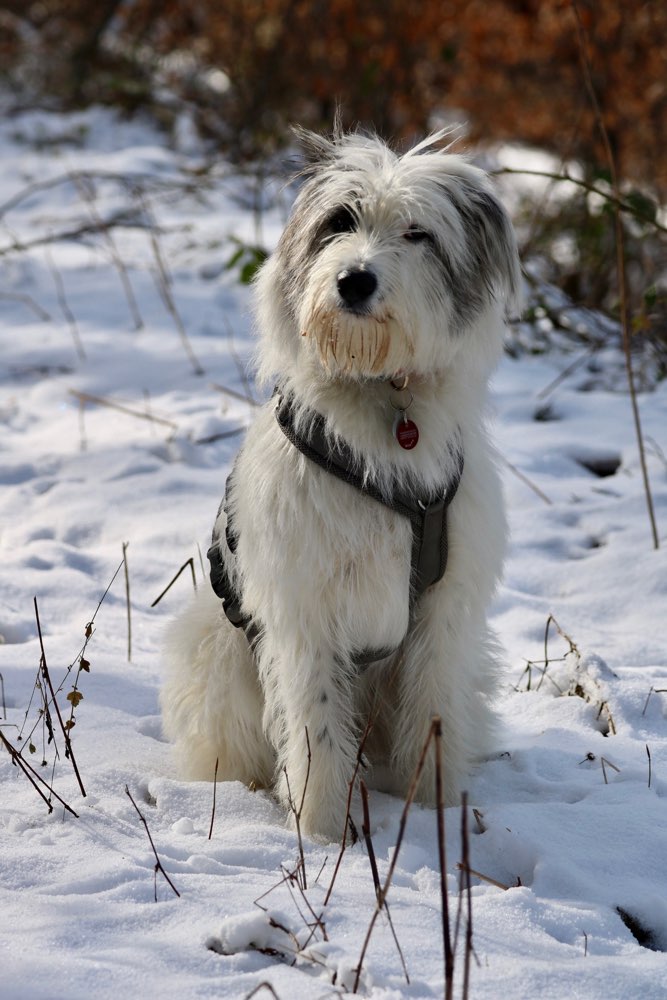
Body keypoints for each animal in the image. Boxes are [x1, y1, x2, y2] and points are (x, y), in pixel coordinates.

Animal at [162, 129, 520, 840]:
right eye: (340, 222)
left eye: (417, 232)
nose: (354, 280)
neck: (386, 402)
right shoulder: (306, 612)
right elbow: (316, 730)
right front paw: (324, 834)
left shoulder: (444, 613)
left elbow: (434, 710)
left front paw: (438, 816)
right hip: (217, 651)